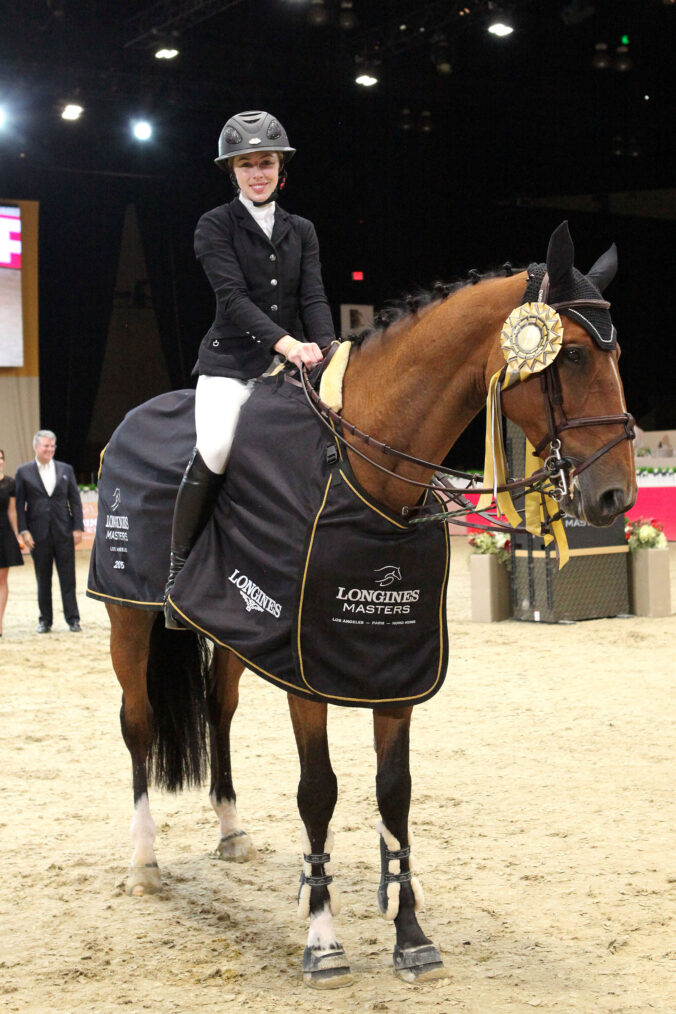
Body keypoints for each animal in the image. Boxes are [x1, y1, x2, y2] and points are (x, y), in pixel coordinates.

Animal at [103, 220, 636, 981]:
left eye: (614, 352)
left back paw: (232, 832)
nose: (616, 497)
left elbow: (395, 791)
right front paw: (324, 938)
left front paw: (410, 935)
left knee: (218, 709)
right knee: (139, 723)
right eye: (577, 355)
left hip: (237, 631)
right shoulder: (305, 671)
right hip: (129, 617)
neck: (365, 464)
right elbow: (318, 790)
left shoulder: (392, 663)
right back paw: (144, 863)